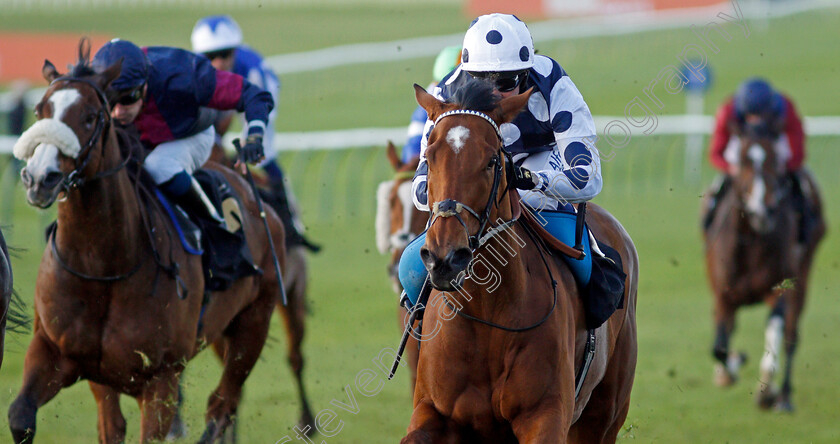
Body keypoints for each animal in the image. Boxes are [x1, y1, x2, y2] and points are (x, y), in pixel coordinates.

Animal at [6, 43, 310, 442]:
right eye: (40, 109)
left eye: (90, 116)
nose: (40, 178)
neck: (104, 265)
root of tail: (257, 198)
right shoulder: (59, 355)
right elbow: (22, 416)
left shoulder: (160, 379)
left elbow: (246, 93)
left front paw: (254, 141)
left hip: (254, 322)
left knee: (224, 404)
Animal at [400, 82, 636, 440]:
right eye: (429, 156)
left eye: (491, 161)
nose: (445, 257)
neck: (487, 314)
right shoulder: (433, 409)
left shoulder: (546, 415)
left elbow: (585, 168)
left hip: (604, 414)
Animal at [704, 134, 828, 412]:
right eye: (743, 160)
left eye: (773, 159)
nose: (761, 210)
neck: (752, 240)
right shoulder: (723, 295)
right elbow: (719, 346)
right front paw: (729, 369)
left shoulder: (779, 289)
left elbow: (775, 331)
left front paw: (767, 392)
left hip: (804, 273)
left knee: (792, 334)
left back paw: (784, 397)